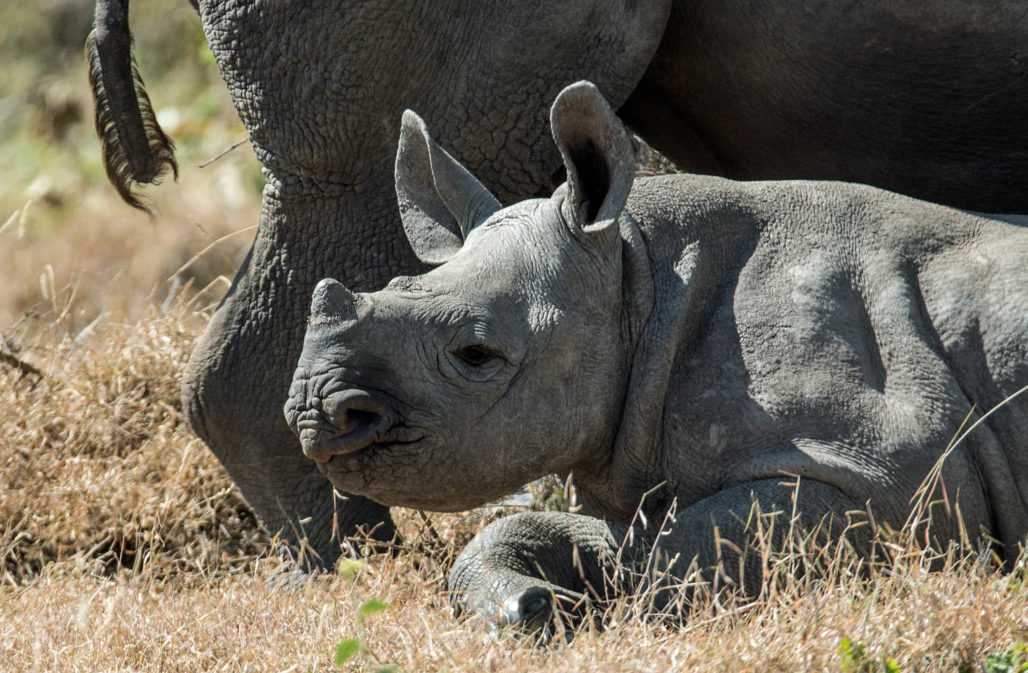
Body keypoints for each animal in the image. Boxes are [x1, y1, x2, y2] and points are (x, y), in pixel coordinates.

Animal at [283, 81, 1028, 628]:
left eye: (475, 353)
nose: (314, 412)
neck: (637, 276)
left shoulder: (888, 477)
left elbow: (681, 556)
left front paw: (589, 612)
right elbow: (586, 535)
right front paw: (531, 605)